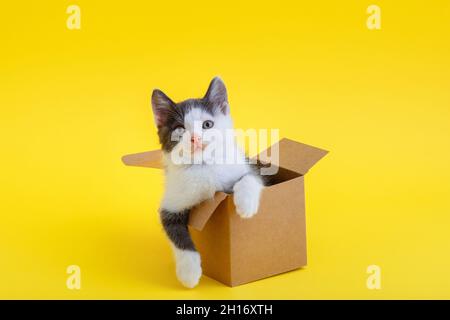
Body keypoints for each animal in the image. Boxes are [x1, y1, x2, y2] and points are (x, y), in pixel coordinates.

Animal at [152, 77, 264, 288]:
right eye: (180, 129)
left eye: (207, 124)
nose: (195, 138)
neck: (204, 166)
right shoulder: (170, 204)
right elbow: (176, 234)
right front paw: (189, 273)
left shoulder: (251, 168)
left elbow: (249, 178)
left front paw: (245, 205)